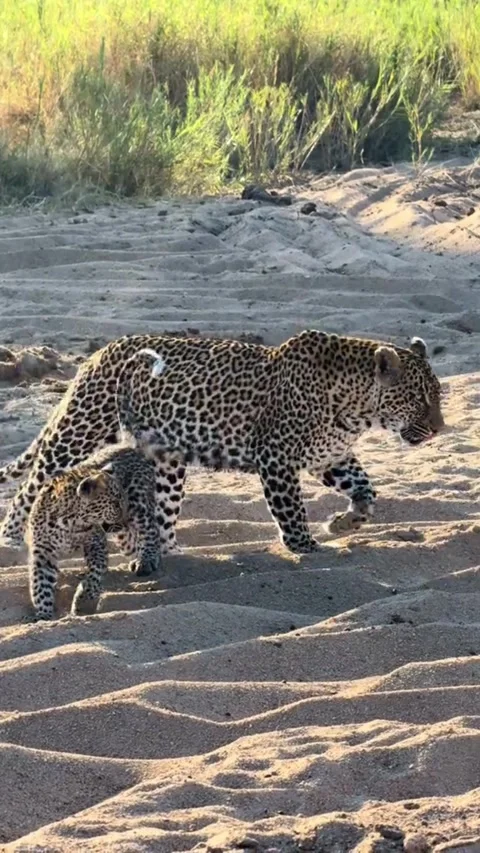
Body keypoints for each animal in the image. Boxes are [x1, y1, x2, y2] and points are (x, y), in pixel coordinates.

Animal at [0, 329, 444, 556]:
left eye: (438, 395)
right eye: (420, 399)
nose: (440, 429)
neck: (356, 409)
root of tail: (99, 353)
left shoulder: (329, 456)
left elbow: (367, 492)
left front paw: (342, 522)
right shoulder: (277, 458)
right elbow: (291, 509)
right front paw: (303, 545)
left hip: (167, 461)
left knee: (163, 508)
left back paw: (168, 550)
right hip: (81, 429)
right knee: (32, 484)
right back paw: (11, 537)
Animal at [25, 440, 162, 620]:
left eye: (121, 501)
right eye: (116, 504)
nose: (124, 520)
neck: (70, 523)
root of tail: (127, 445)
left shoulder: (96, 543)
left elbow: (95, 575)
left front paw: (84, 603)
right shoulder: (42, 551)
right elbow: (40, 583)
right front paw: (43, 614)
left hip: (140, 505)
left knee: (151, 531)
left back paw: (146, 560)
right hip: (122, 534)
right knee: (131, 541)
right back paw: (136, 556)